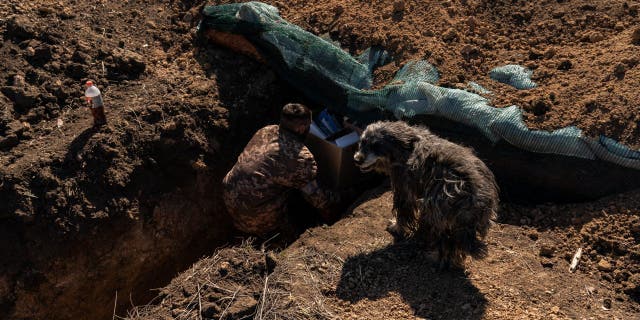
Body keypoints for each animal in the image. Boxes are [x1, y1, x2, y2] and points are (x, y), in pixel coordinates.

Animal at [352, 121, 498, 268]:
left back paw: (435, 257)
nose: (357, 160)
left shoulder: (403, 191)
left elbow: (402, 215)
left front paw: (396, 227)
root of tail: (474, 198)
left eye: (376, 146)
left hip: (433, 212)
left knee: (443, 242)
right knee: (455, 244)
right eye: (362, 143)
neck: (405, 146)